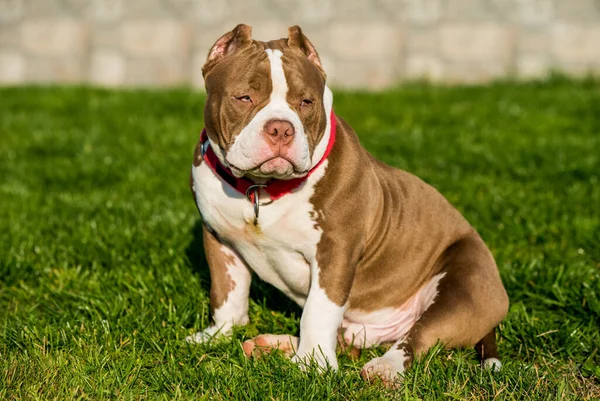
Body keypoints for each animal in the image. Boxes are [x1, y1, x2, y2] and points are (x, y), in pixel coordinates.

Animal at [186, 24, 506, 384]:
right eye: (244, 98)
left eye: (306, 102)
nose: (281, 128)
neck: (261, 188)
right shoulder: (219, 238)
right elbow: (226, 292)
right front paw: (217, 335)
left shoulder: (335, 252)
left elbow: (318, 311)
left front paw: (312, 364)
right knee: (348, 342)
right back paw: (271, 345)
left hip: (465, 285)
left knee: (418, 338)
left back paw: (384, 368)